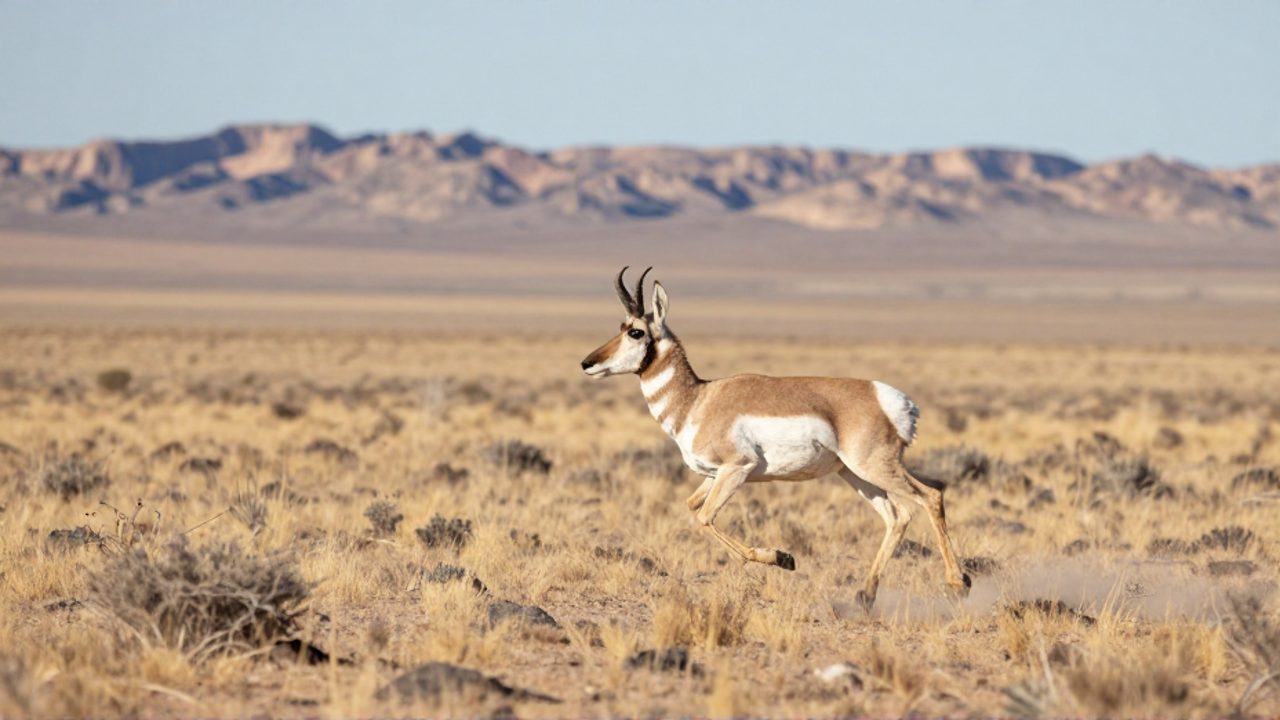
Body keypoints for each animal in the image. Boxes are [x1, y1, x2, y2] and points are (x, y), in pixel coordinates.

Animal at [580, 267, 970, 608]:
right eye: (621, 326)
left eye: (635, 332)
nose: (587, 363)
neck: (697, 400)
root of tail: (891, 399)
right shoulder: (713, 475)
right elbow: (692, 506)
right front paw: (783, 557)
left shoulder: (736, 469)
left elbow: (705, 517)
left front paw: (783, 558)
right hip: (855, 475)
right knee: (897, 516)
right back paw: (866, 594)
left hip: (874, 468)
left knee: (930, 497)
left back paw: (958, 583)